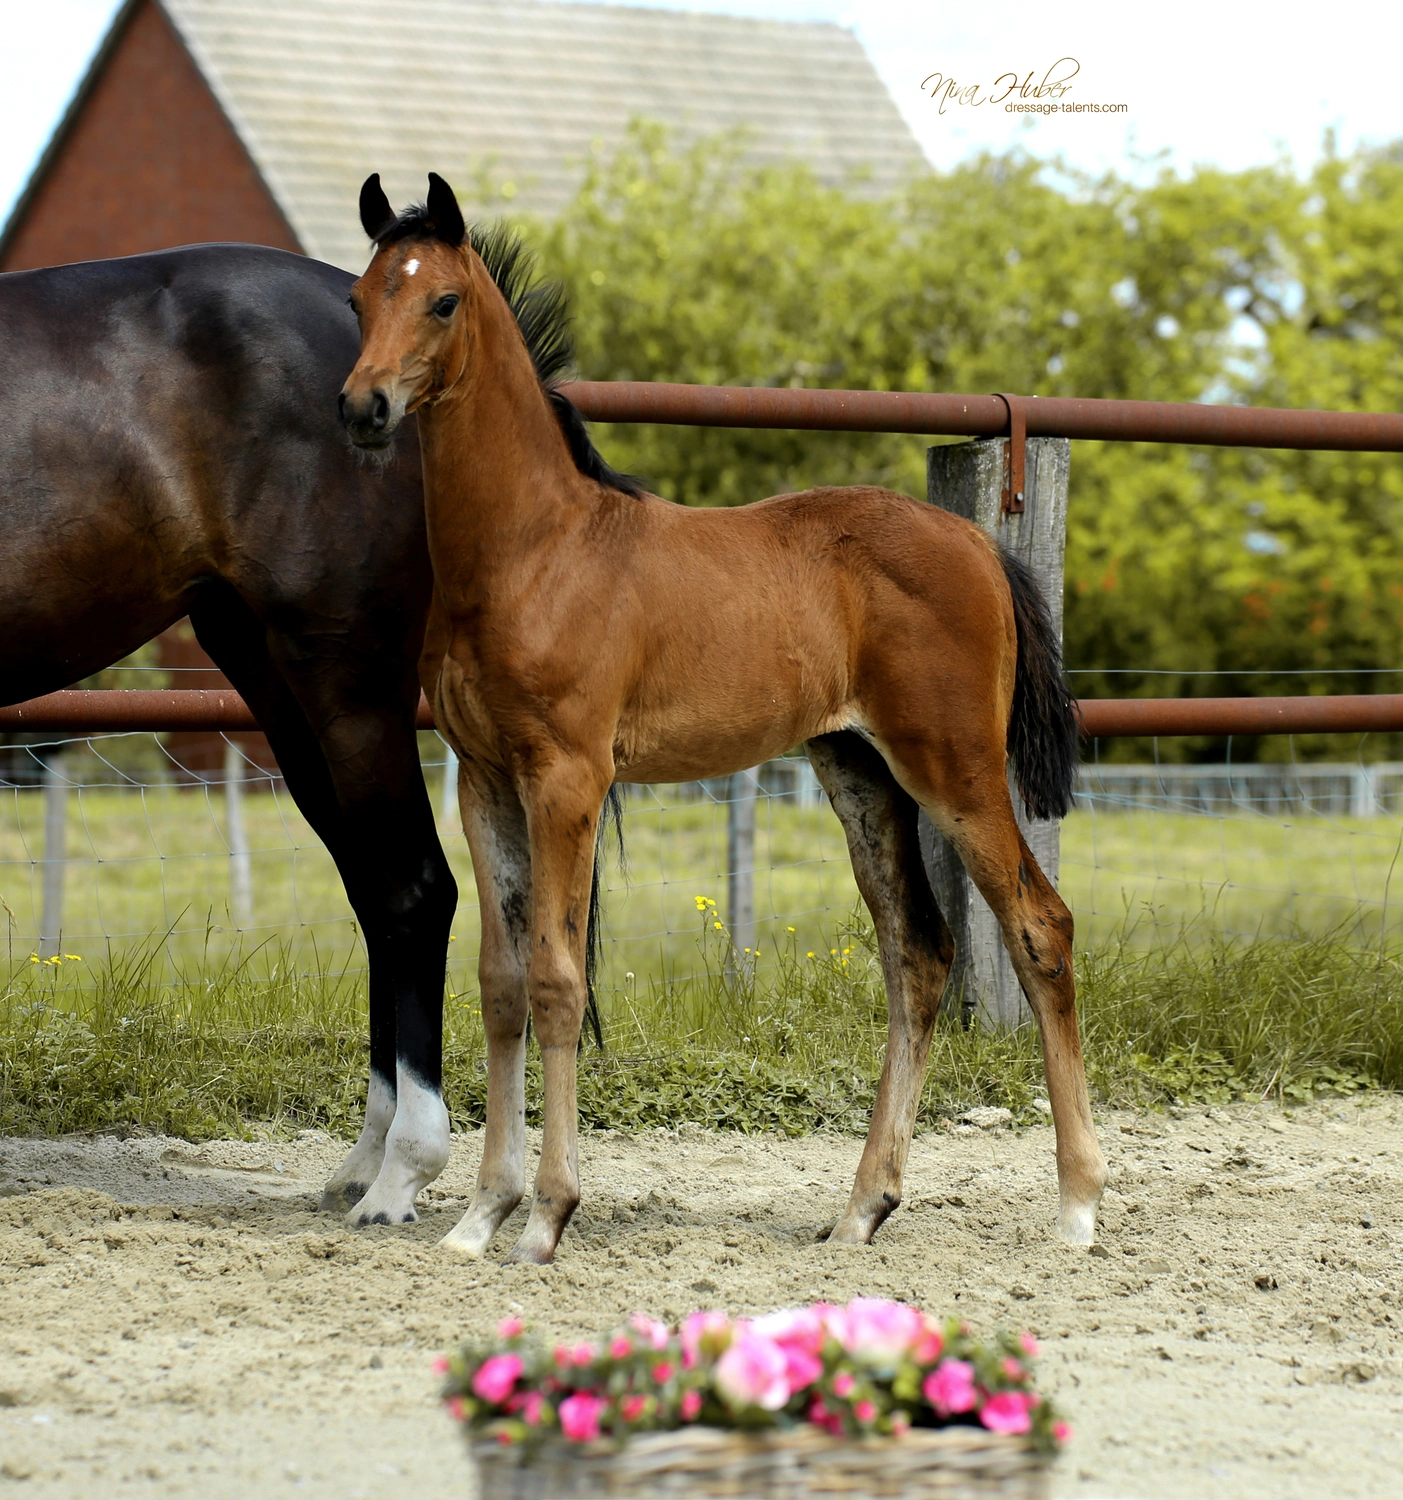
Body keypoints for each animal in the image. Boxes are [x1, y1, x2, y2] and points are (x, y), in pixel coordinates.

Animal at [0, 242, 456, 1229]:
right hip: (281, 688)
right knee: (377, 896)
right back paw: (363, 1163)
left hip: (348, 680)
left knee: (415, 892)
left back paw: (402, 1174)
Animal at [339, 173, 1109, 1266]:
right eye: (361, 298)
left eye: (441, 300)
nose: (362, 407)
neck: (530, 549)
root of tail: (976, 543)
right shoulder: (483, 778)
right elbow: (499, 984)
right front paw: (479, 1216)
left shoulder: (567, 777)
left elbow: (557, 980)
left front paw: (546, 1216)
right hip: (857, 769)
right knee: (916, 955)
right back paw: (860, 1207)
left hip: (952, 768)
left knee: (1039, 927)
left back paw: (1077, 1206)